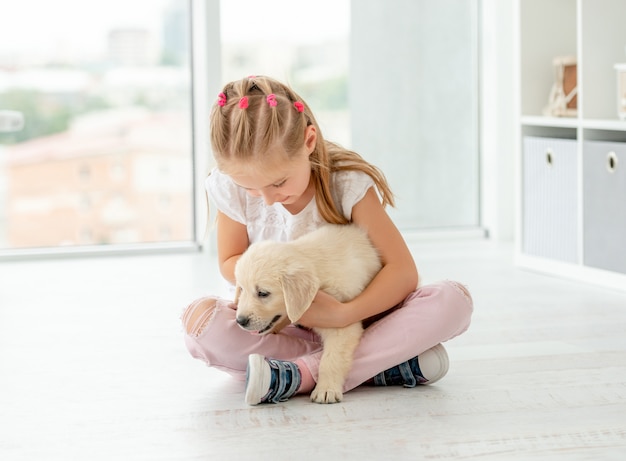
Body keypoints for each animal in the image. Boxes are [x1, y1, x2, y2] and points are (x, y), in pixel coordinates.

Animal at [234, 224, 380, 402]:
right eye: (242, 289)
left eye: (263, 293)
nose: (240, 321)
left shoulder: (341, 322)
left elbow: (330, 359)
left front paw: (326, 389)